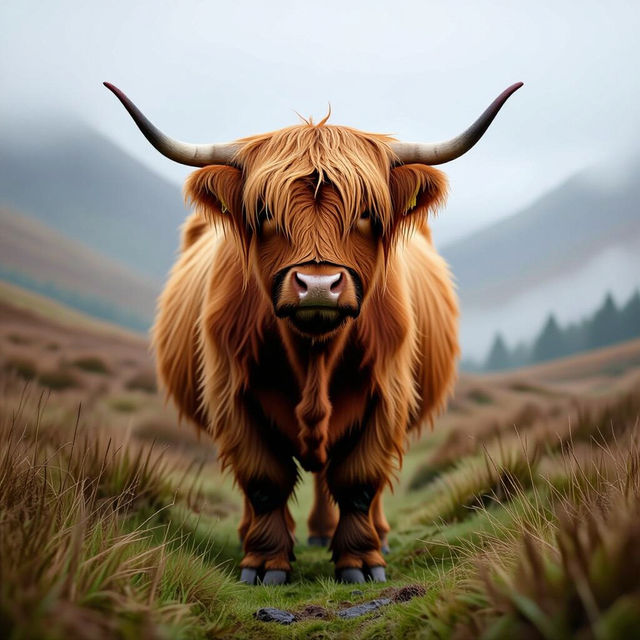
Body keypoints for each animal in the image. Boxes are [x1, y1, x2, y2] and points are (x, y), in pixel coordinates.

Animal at [105, 81, 522, 585]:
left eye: (366, 212)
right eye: (265, 212)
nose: (318, 285)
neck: (314, 355)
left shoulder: (387, 394)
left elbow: (358, 481)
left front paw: (361, 562)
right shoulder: (232, 394)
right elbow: (264, 481)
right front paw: (265, 564)